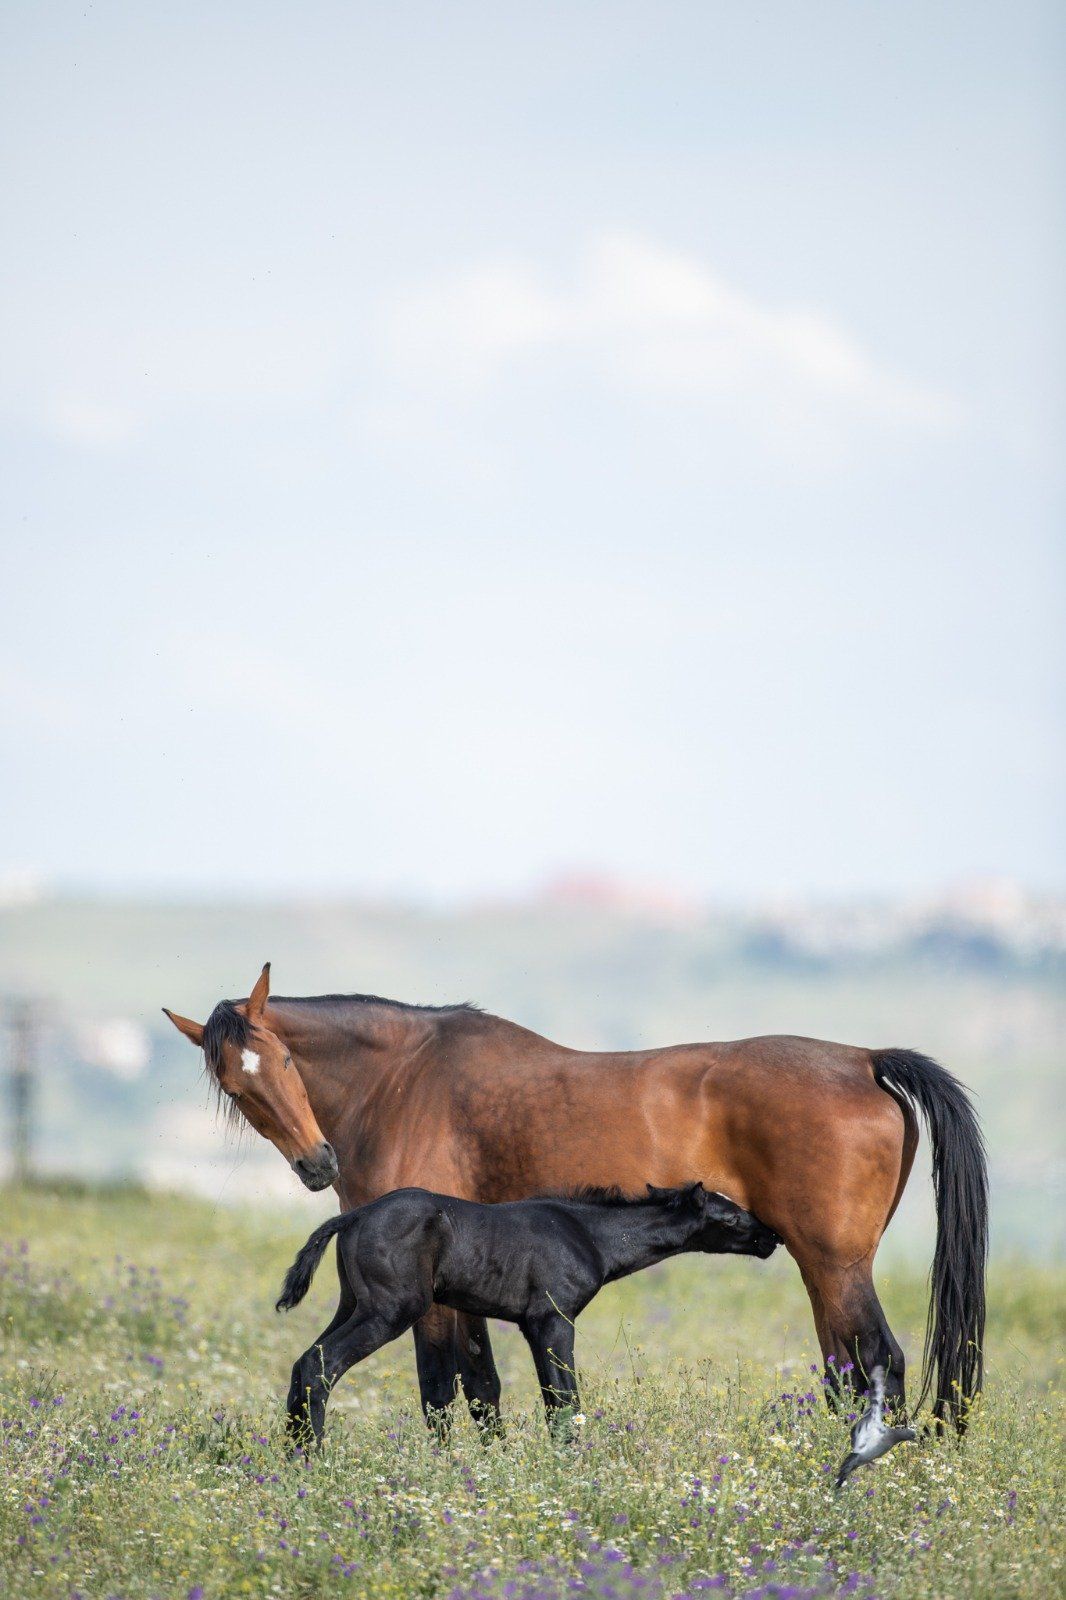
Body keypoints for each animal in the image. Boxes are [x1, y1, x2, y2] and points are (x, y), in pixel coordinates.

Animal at [276, 1181, 780, 1443]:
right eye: (731, 1216)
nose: (772, 1236)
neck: (588, 1233)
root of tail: (352, 1216)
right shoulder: (552, 1320)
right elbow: (565, 1401)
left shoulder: (532, 1327)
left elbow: (553, 1398)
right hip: (391, 1310)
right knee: (320, 1365)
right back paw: (313, 1459)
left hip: (352, 1305)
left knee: (303, 1364)